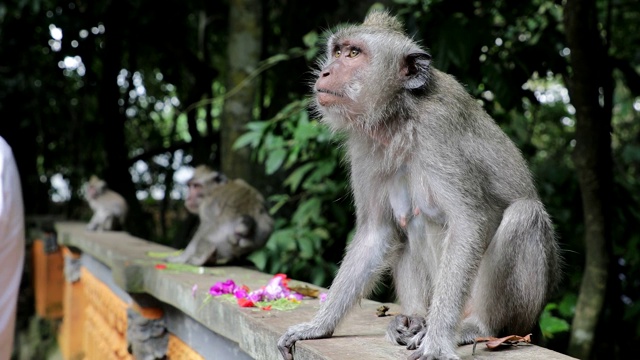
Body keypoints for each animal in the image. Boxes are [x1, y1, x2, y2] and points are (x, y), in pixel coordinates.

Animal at [278, 9, 564, 360]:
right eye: (337, 51)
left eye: (354, 54)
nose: (326, 71)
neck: (399, 115)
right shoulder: (364, 147)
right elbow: (376, 233)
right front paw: (317, 327)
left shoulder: (437, 130)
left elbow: (468, 222)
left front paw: (438, 343)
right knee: (405, 222)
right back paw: (414, 319)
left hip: (519, 316)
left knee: (525, 215)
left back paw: (474, 327)